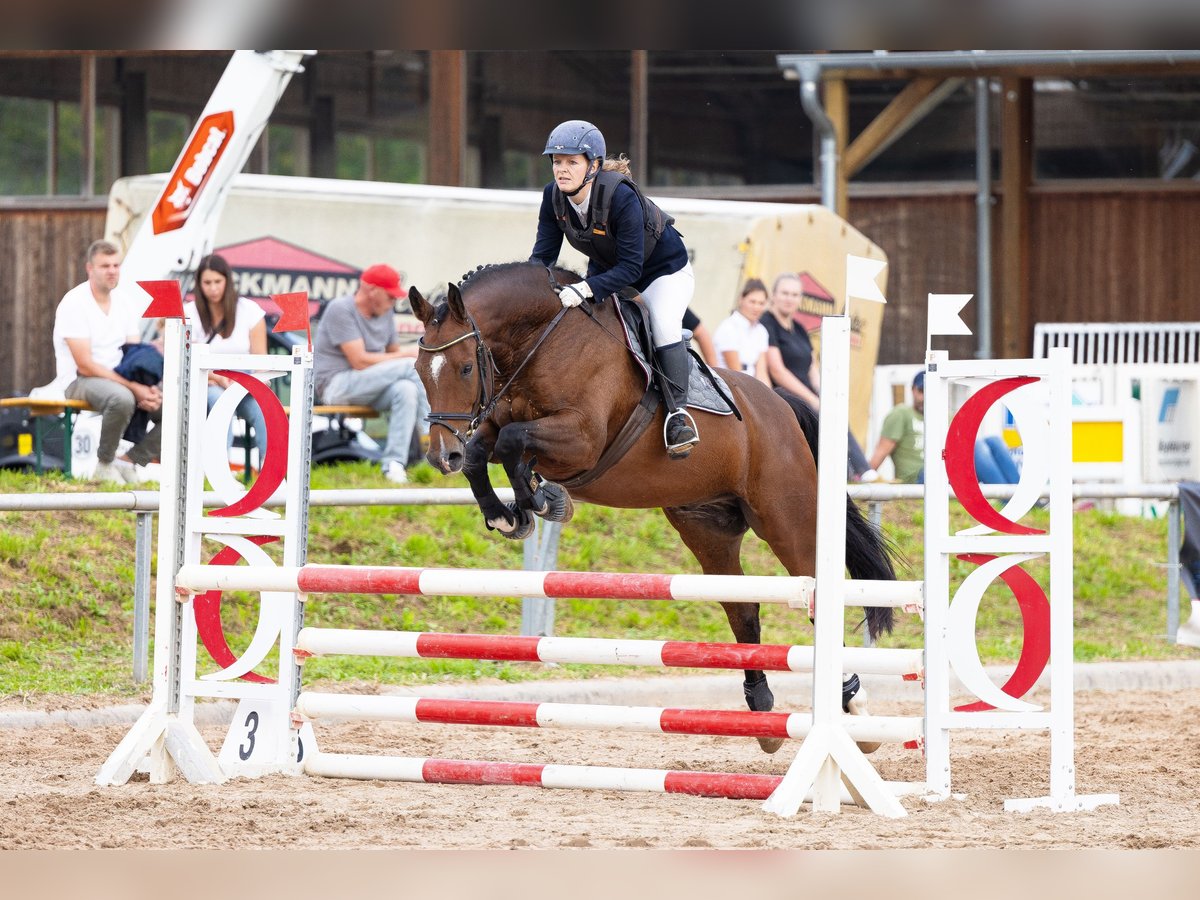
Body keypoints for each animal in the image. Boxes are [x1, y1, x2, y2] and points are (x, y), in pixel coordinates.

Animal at [408, 262, 897, 753]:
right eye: (418, 370)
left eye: (465, 367)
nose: (441, 456)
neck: (539, 342)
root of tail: (781, 404)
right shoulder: (497, 423)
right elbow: (484, 453)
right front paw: (509, 513)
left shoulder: (580, 440)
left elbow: (513, 444)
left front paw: (544, 500)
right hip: (707, 528)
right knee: (742, 609)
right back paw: (762, 709)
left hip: (785, 519)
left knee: (814, 595)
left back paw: (853, 705)